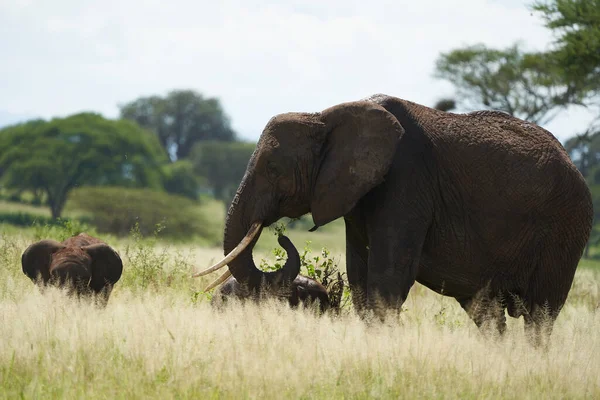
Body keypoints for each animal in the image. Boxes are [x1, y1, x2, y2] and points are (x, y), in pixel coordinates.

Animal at [195, 94, 592, 344]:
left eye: (273, 169)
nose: (279, 234)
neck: (325, 116)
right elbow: (360, 276)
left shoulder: (407, 182)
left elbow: (387, 279)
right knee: (486, 311)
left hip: (566, 227)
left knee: (540, 314)